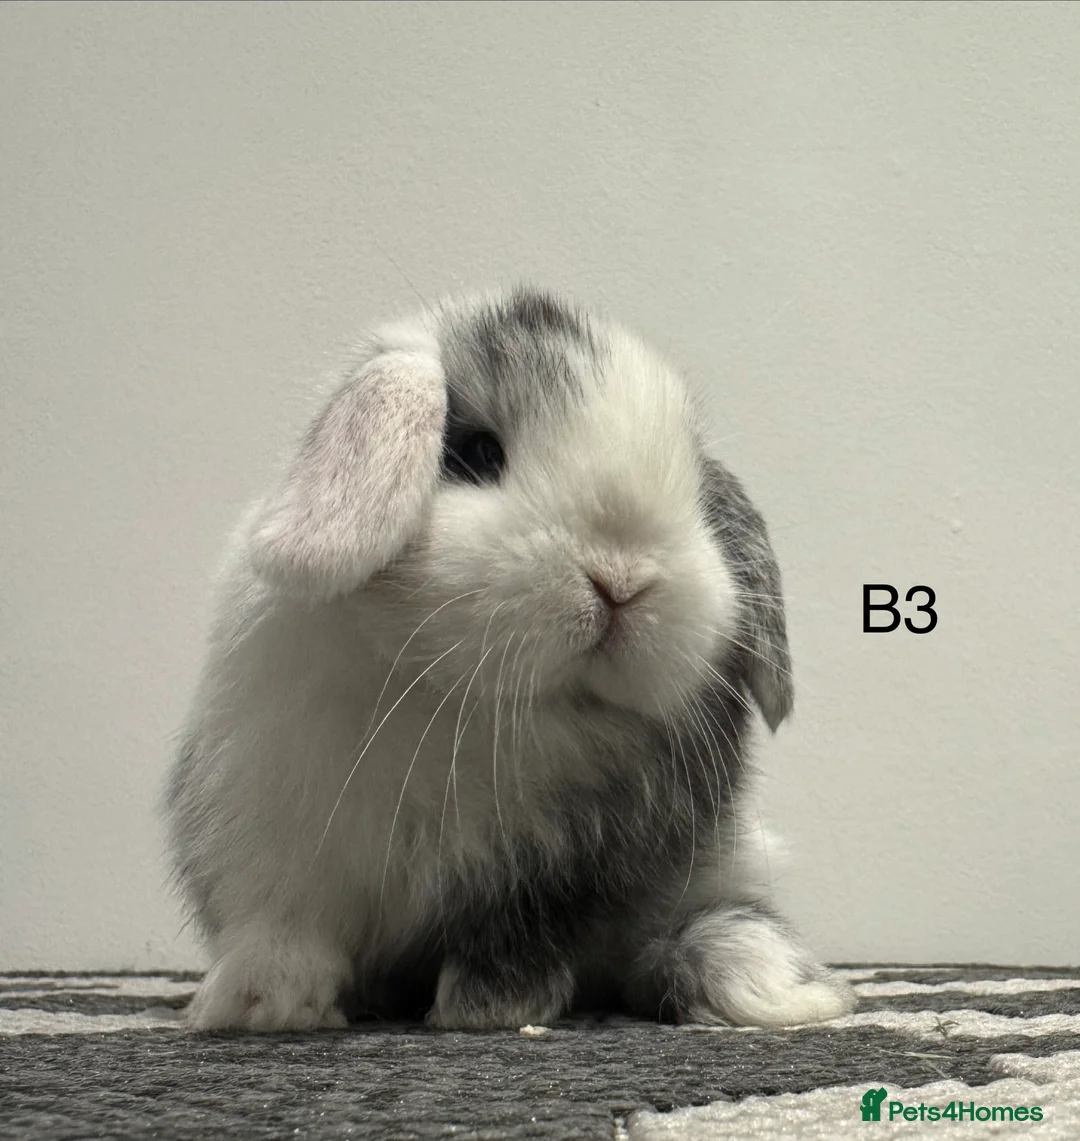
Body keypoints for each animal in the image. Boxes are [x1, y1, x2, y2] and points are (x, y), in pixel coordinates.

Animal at [165, 286, 856, 1032]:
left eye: (696, 494)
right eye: (475, 452)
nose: (621, 580)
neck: (465, 702)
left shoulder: (567, 865)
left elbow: (521, 931)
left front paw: (487, 1005)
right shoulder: (270, 830)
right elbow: (284, 925)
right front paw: (260, 1001)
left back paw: (776, 986)